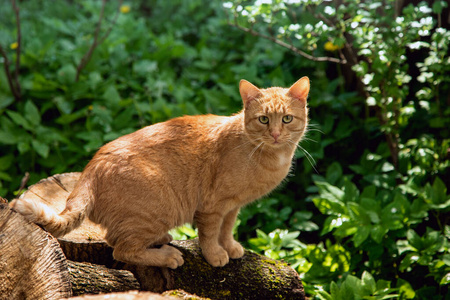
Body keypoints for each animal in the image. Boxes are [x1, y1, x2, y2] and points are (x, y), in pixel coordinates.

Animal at [13, 77, 310, 268]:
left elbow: (227, 229)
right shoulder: (213, 206)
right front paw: (215, 255)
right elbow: (209, 235)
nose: (275, 134)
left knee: (116, 240)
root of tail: (91, 168)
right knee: (120, 249)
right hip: (159, 209)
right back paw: (167, 257)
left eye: (286, 119)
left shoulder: (232, 205)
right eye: (263, 119)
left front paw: (231, 247)